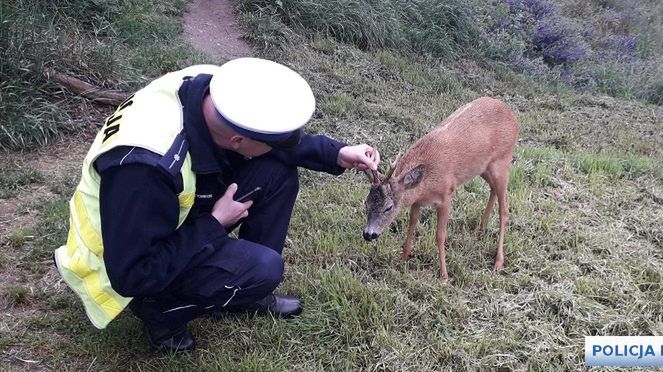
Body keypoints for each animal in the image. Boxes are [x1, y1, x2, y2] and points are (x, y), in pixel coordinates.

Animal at [364, 96, 520, 282]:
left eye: (388, 207)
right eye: (366, 204)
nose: (368, 234)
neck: (425, 184)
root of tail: (513, 117)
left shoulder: (446, 195)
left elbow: (440, 235)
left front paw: (444, 275)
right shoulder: (418, 200)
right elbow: (412, 223)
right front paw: (403, 257)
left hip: (503, 159)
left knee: (504, 209)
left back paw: (498, 261)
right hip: (484, 167)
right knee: (493, 189)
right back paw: (478, 230)